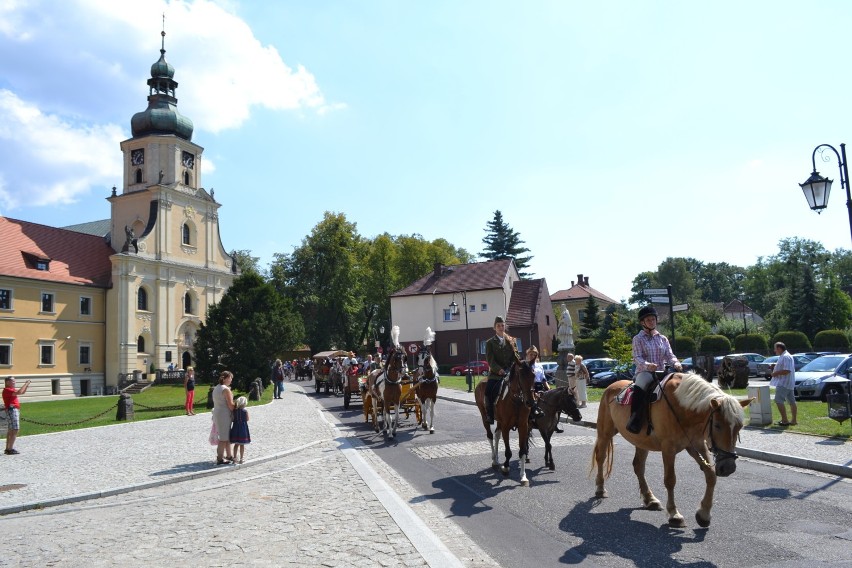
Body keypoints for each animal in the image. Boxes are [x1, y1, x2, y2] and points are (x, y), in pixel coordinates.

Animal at [588, 372, 748, 528]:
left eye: (740, 426)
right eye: (718, 425)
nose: (728, 467)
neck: (682, 408)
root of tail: (611, 387)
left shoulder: (696, 444)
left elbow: (711, 475)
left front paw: (704, 514)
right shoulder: (668, 449)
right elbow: (670, 480)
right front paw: (674, 514)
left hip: (642, 442)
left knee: (638, 467)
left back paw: (650, 499)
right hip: (605, 433)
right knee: (601, 458)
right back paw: (600, 489)